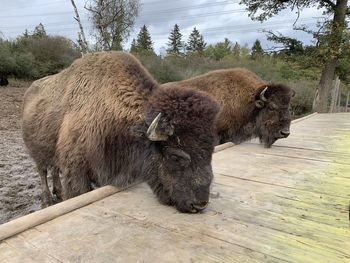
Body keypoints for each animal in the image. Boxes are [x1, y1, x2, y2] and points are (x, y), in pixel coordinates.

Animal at [21, 52, 219, 214]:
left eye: (210, 150)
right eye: (174, 156)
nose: (199, 204)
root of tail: (30, 91)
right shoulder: (76, 169)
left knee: (53, 169)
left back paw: (59, 193)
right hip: (36, 152)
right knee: (42, 171)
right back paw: (47, 200)